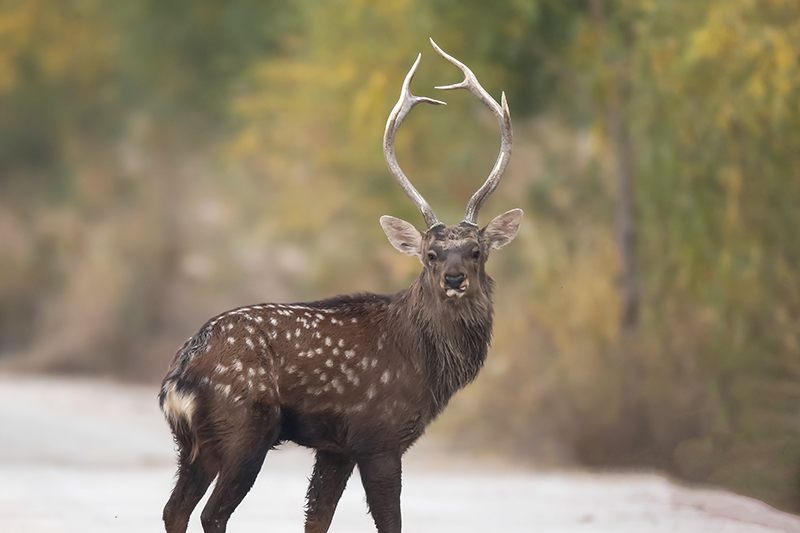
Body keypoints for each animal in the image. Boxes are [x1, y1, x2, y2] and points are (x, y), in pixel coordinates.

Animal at [159, 38, 522, 533]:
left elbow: (318, 518)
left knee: (175, 508)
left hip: (195, 444)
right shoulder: (378, 434)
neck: (426, 363)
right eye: (429, 254)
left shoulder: (336, 446)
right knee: (211, 513)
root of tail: (179, 378)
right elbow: (389, 521)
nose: (453, 278)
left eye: (476, 251)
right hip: (246, 426)